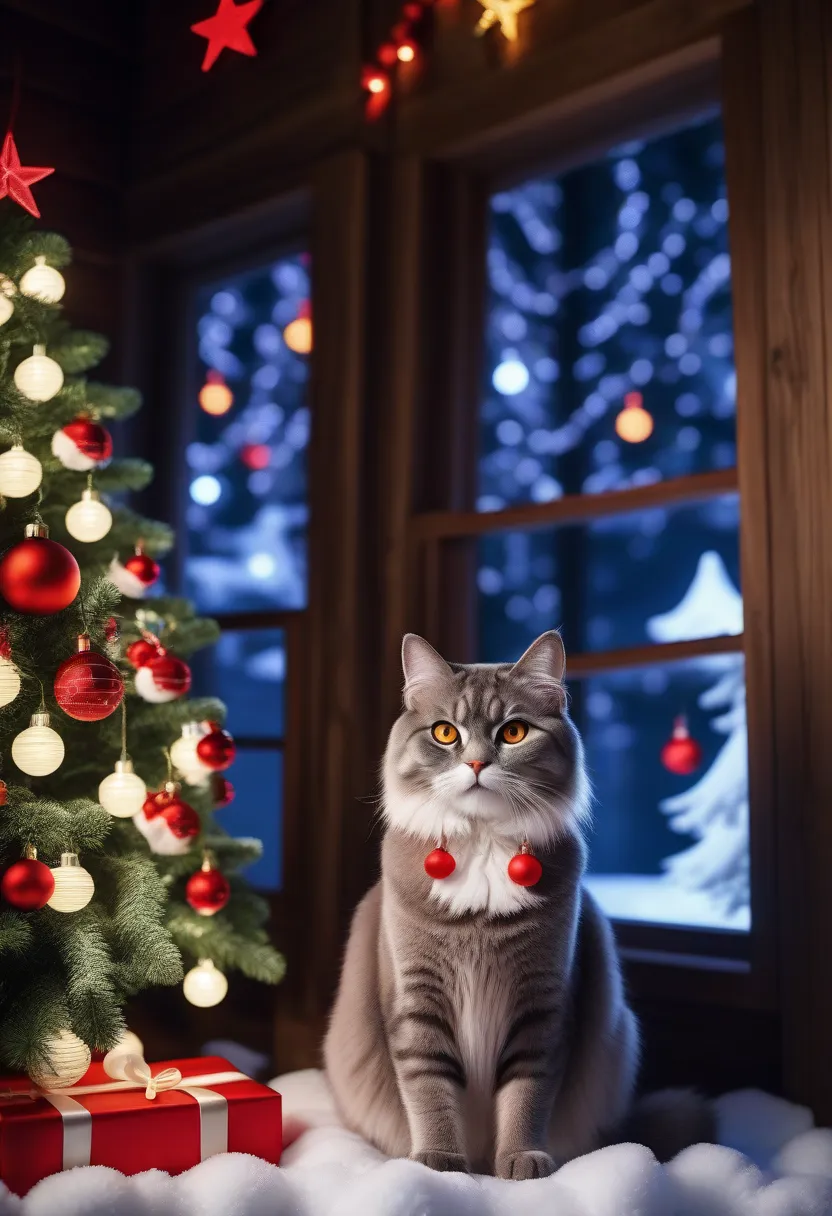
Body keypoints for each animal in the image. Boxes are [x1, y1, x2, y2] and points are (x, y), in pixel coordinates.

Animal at [325, 632, 710, 1172]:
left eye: (513, 732)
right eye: (445, 733)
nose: (476, 764)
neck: (484, 847)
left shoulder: (541, 1005)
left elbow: (527, 1095)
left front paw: (520, 1161)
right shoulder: (417, 1000)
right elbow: (429, 1089)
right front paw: (440, 1161)